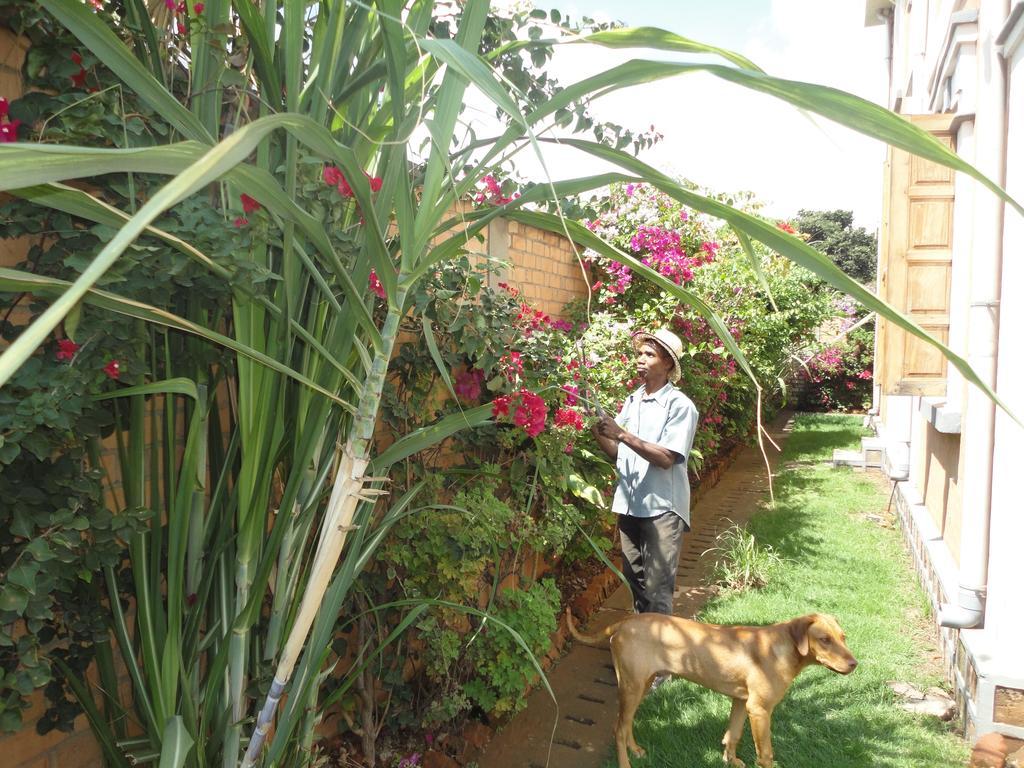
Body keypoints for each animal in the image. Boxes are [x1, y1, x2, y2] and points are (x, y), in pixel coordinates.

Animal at [569, 610, 856, 765]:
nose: (855, 664)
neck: (780, 648)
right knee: (618, 728)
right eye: (825, 639)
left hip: (640, 684)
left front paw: (731, 761)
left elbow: (733, 734)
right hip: (632, 685)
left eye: (843, 638)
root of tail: (624, 622)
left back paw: (636, 750)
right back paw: (625, 763)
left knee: (625, 724)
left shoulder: (742, 702)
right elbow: (766, 754)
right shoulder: (760, 710)